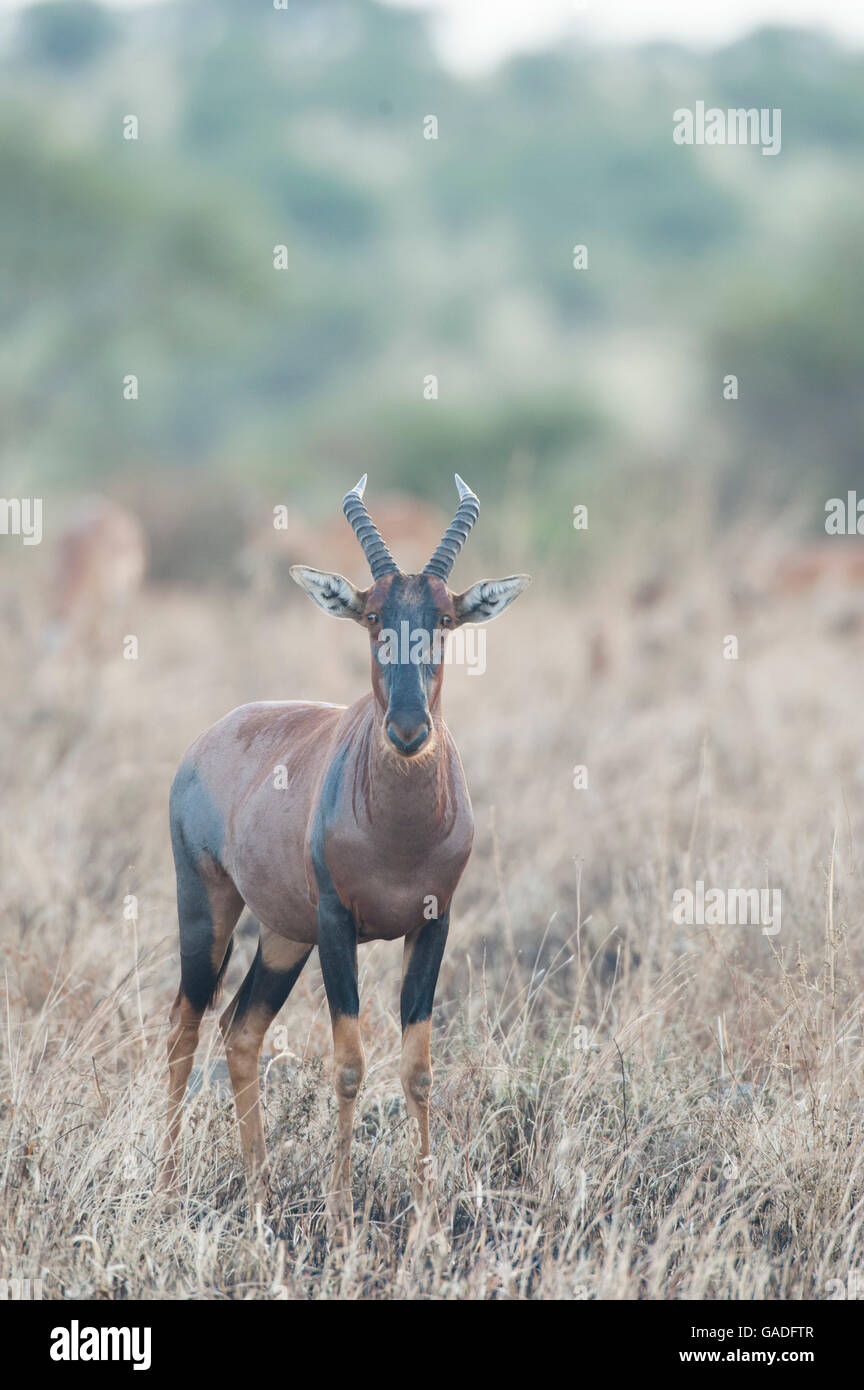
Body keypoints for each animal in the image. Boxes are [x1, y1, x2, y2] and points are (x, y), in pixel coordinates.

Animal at [159, 478, 530, 1228]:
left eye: (446, 617)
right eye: (372, 614)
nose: (409, 730)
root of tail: (215, 734)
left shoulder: (433, 923)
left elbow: (419, 1069)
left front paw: (426, 1219)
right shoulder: (338, 925)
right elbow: (351, 1064)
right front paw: (340, 1216)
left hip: (283, 936)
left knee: (240, 1032)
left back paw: (262, 1196)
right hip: (209, 907)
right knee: (184, 1028)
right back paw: (165, 1190)